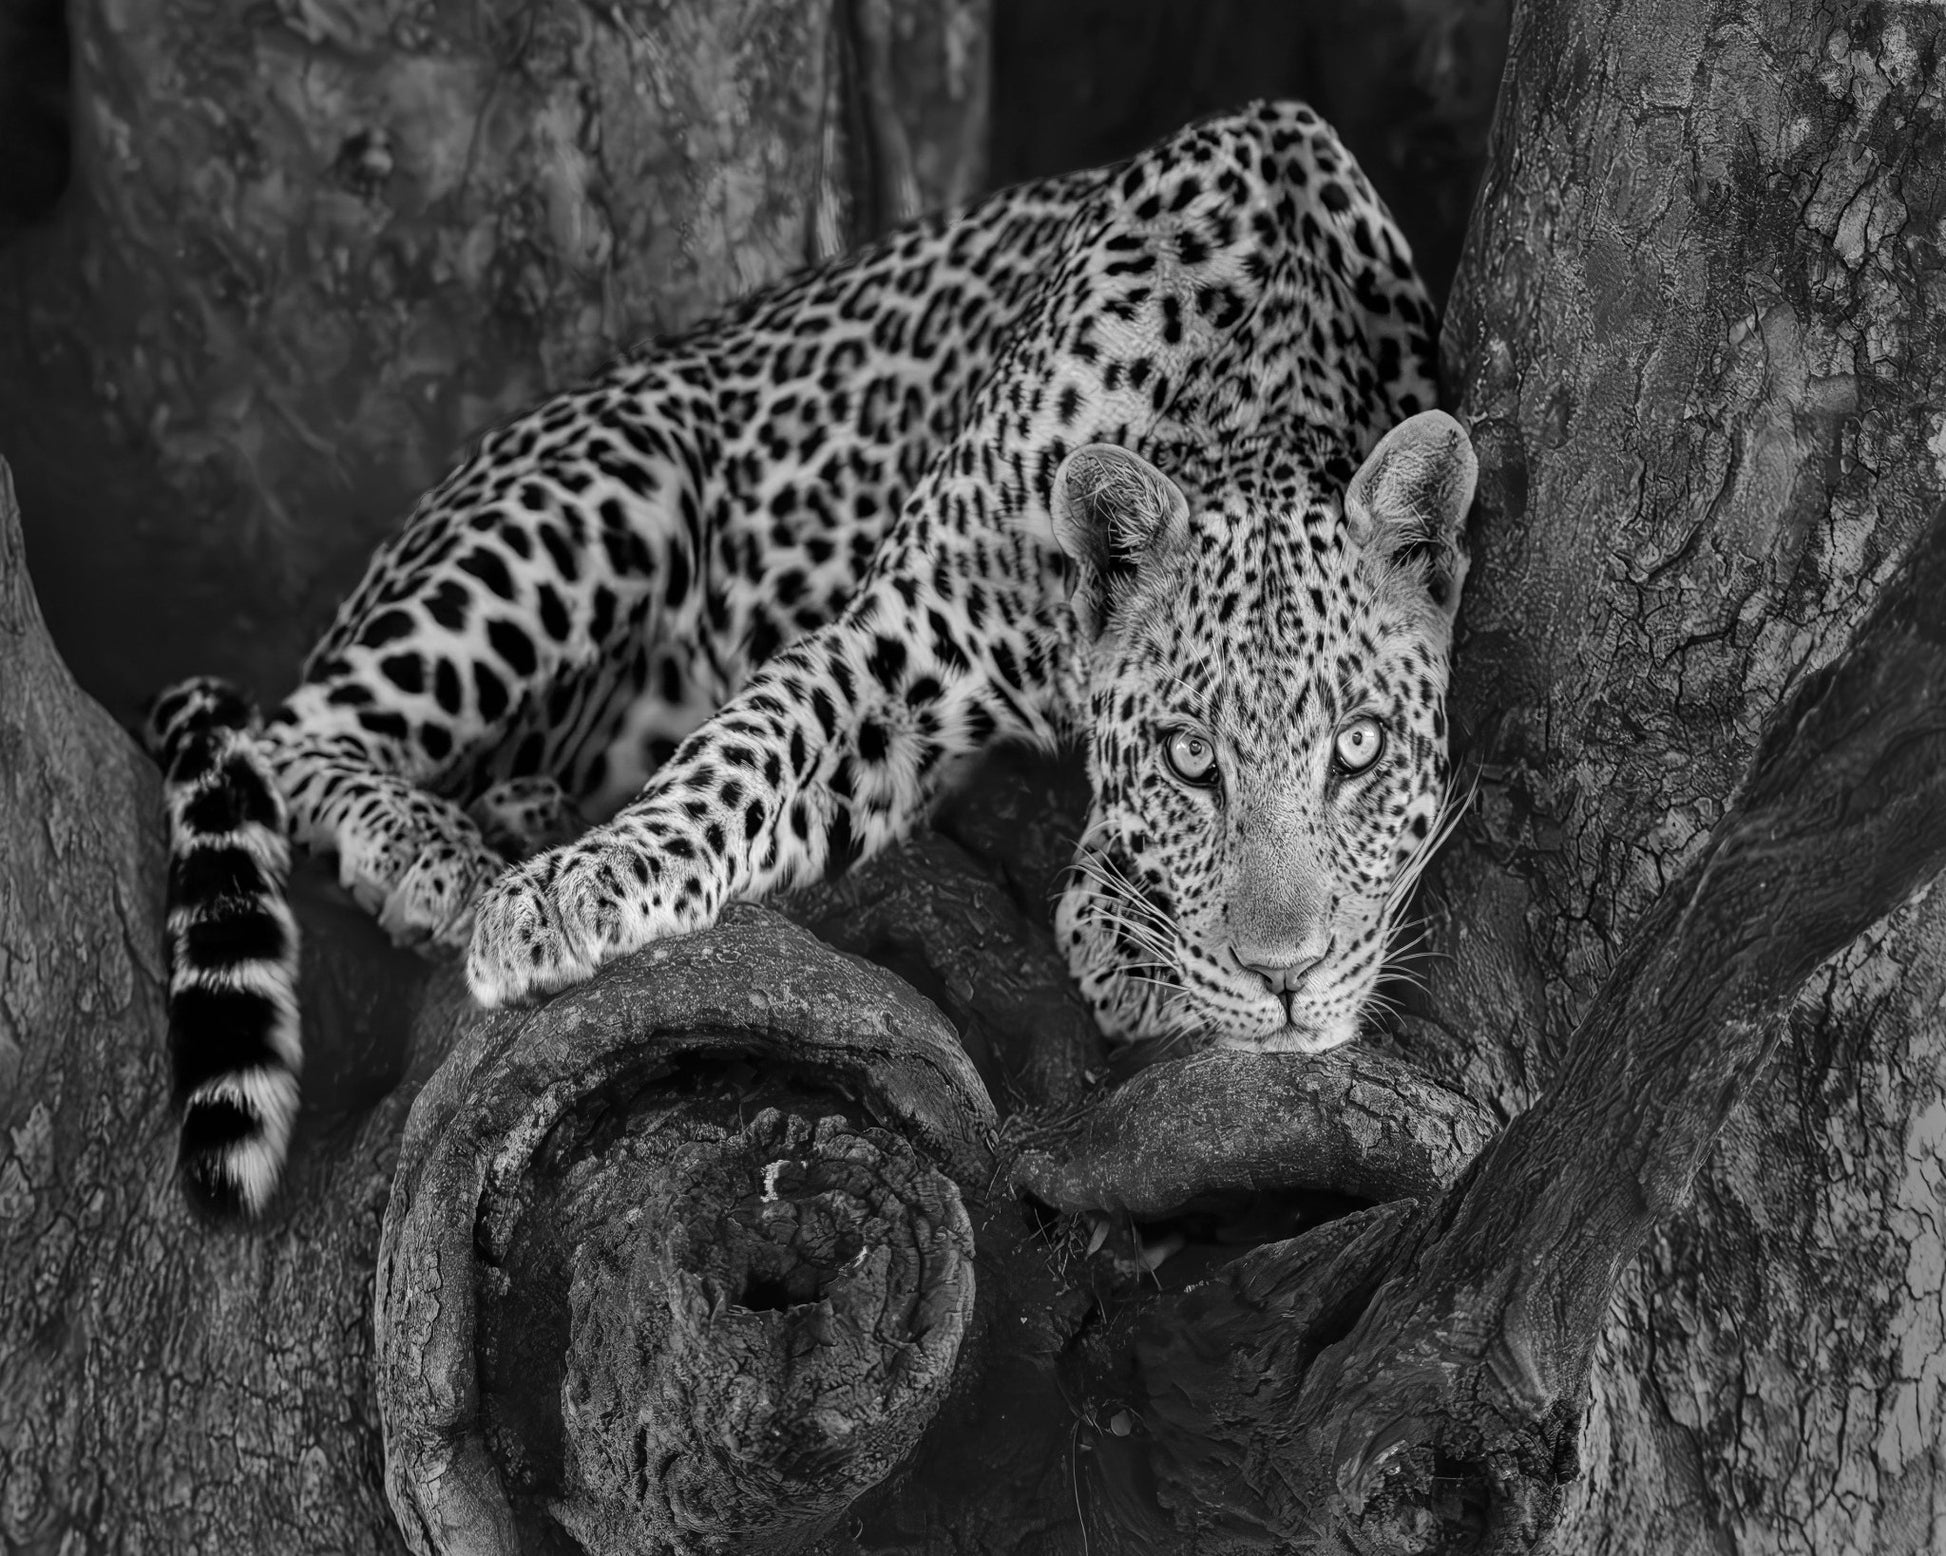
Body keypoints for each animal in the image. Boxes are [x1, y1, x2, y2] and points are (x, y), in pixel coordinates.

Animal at [145, 99, 1477, 1218]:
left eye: (1359, 748)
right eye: (1190, 759)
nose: (1286, 979)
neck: (1253, 380)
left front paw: (1123, 922)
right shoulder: (895, 640)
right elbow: (737, 754)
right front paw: (566, 896)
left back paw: (517, 806)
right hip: (599, 490)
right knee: (281, 731)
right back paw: (434, 853)